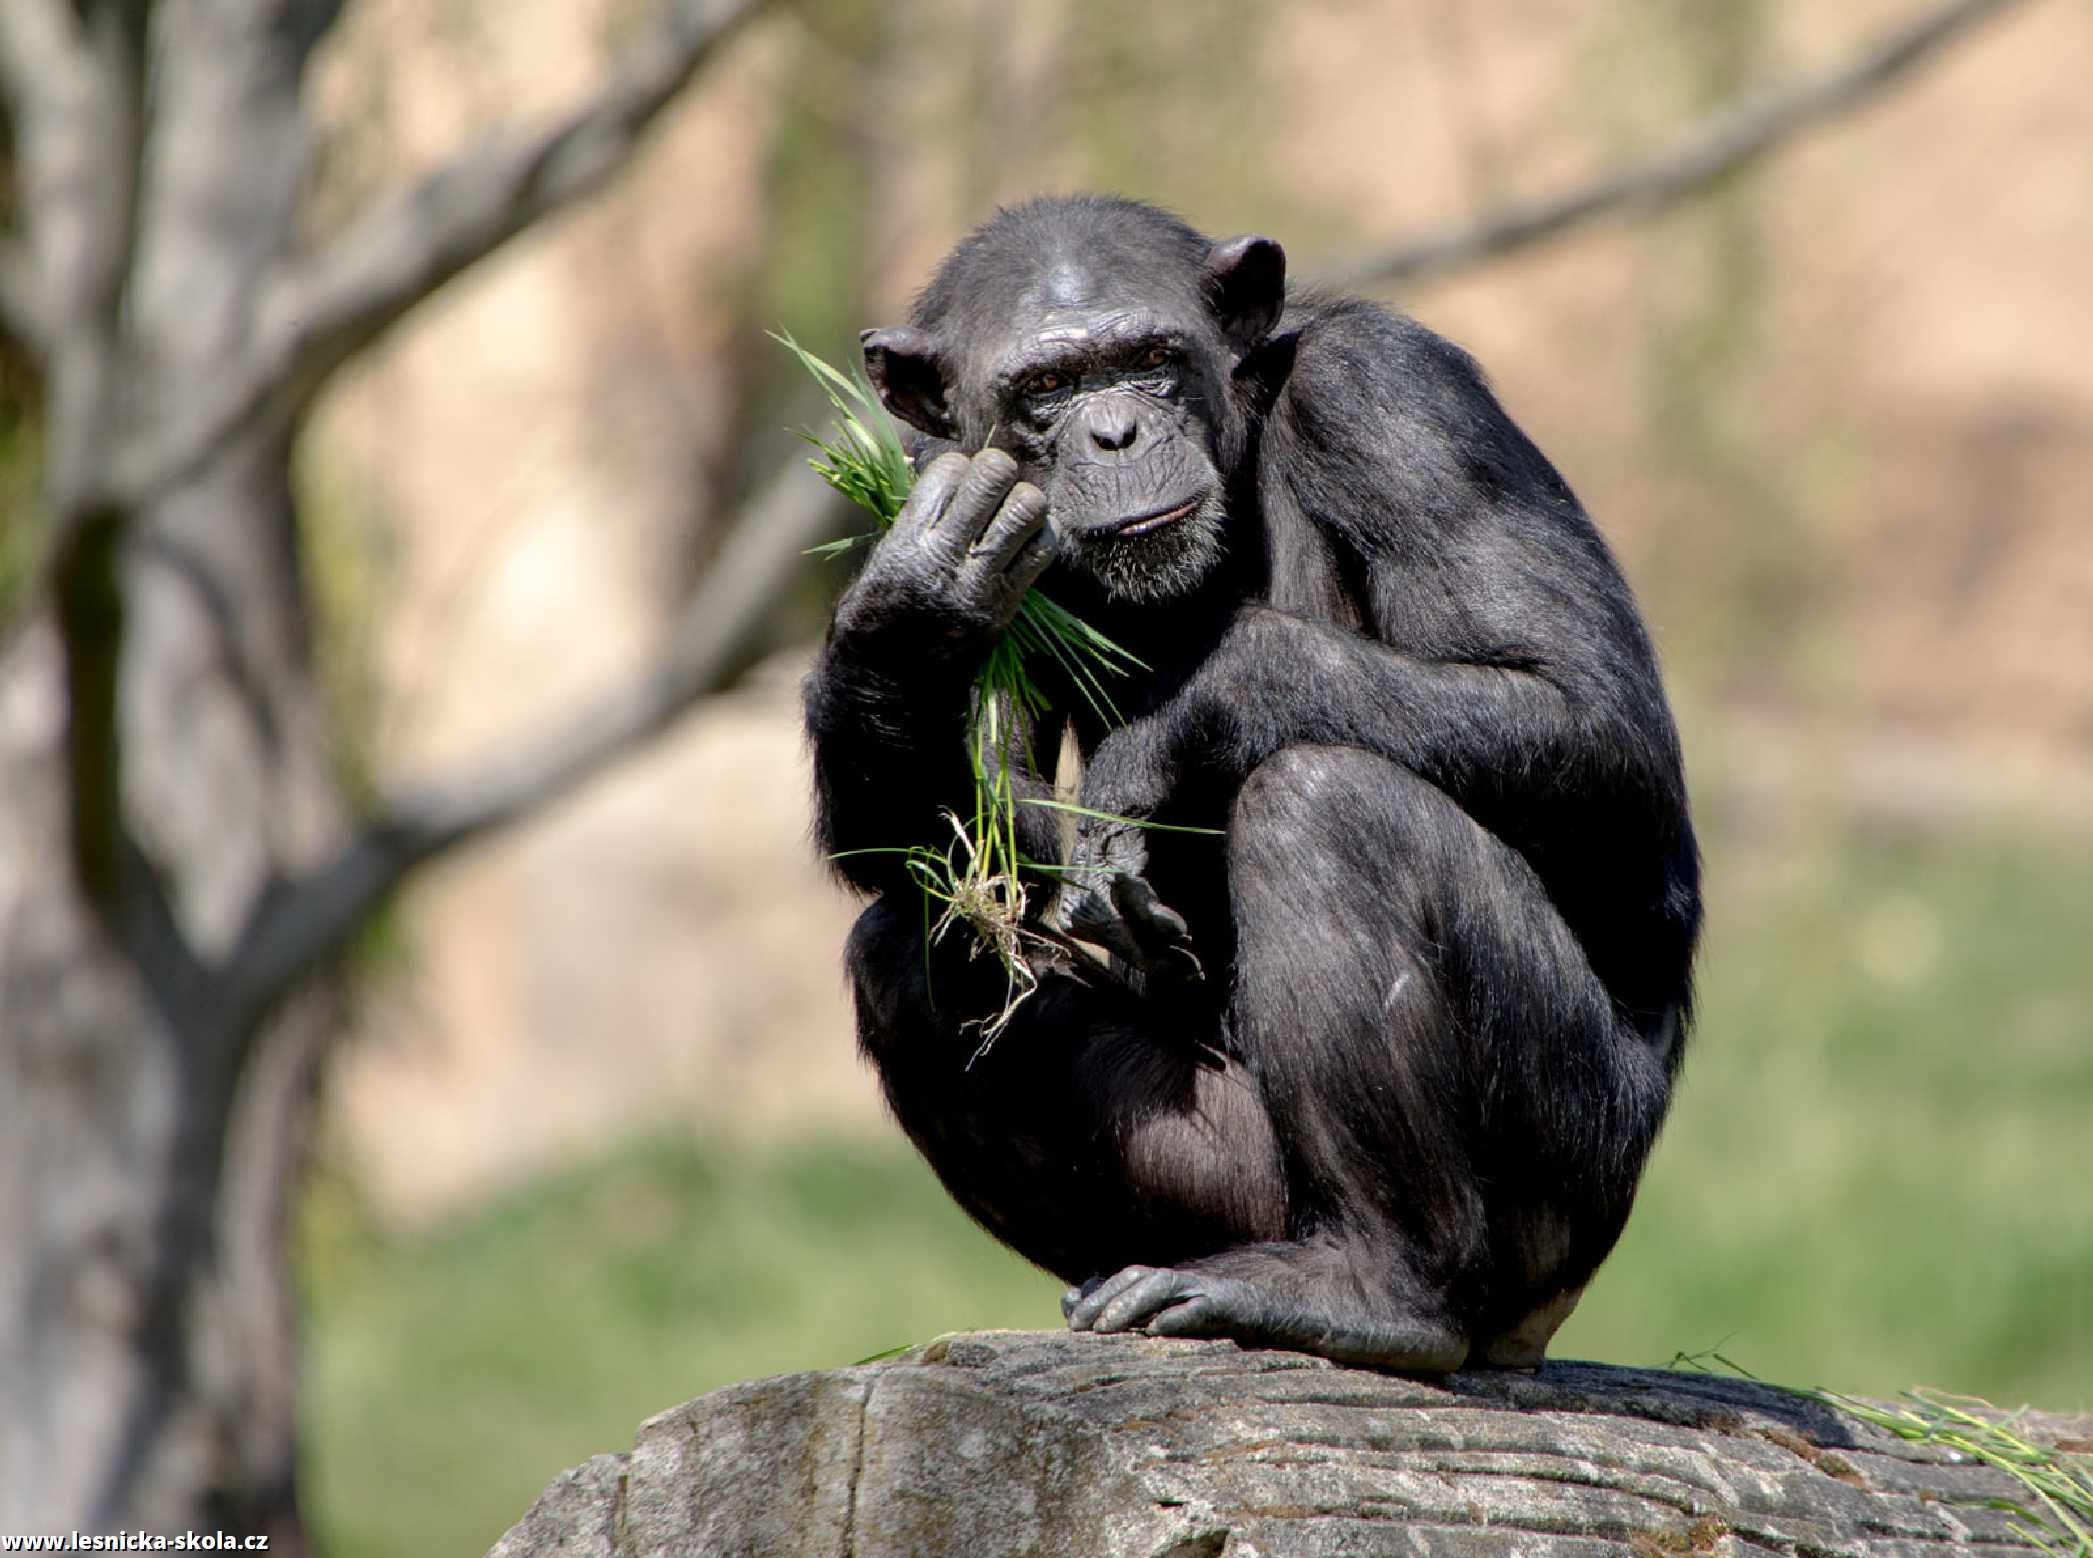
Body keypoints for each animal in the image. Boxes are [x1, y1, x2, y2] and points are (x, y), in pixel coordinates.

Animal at [799, 191, 1699, 1365]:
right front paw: (917, 598)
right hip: (1239, 1177)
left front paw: (1176, 717)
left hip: (1572, 1174)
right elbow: (977, 843)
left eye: (1148, 360)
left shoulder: (1394, 399)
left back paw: (1373, 1289)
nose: (1115, 433)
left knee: (1328, 805)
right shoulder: (936, 463)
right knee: (911, 945)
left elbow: (1590, 717)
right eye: (1045, 390)